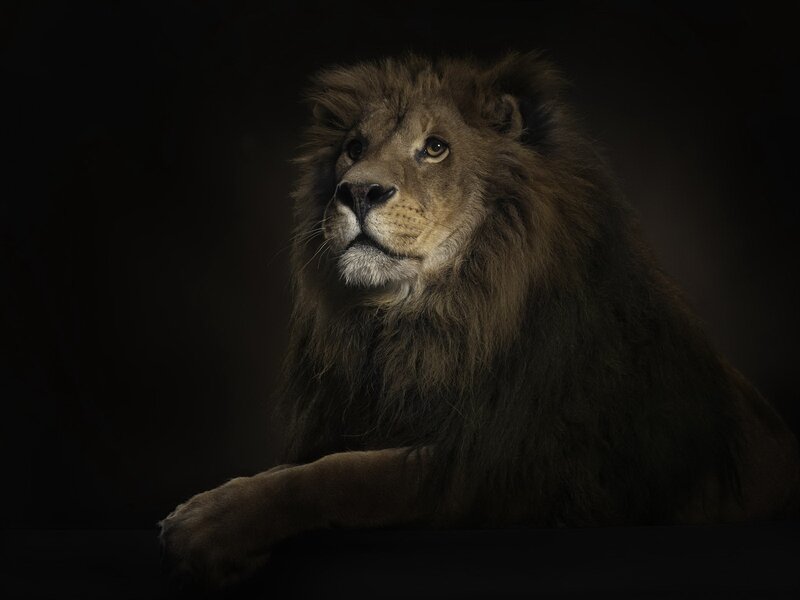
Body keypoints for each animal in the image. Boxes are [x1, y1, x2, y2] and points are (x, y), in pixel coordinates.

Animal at [160, 52, 800, 589]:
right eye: (353, 146)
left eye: (435, 148)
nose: (356, 191)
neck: (423, 322)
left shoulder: (501, 467)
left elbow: (339, 474)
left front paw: (207, 523)